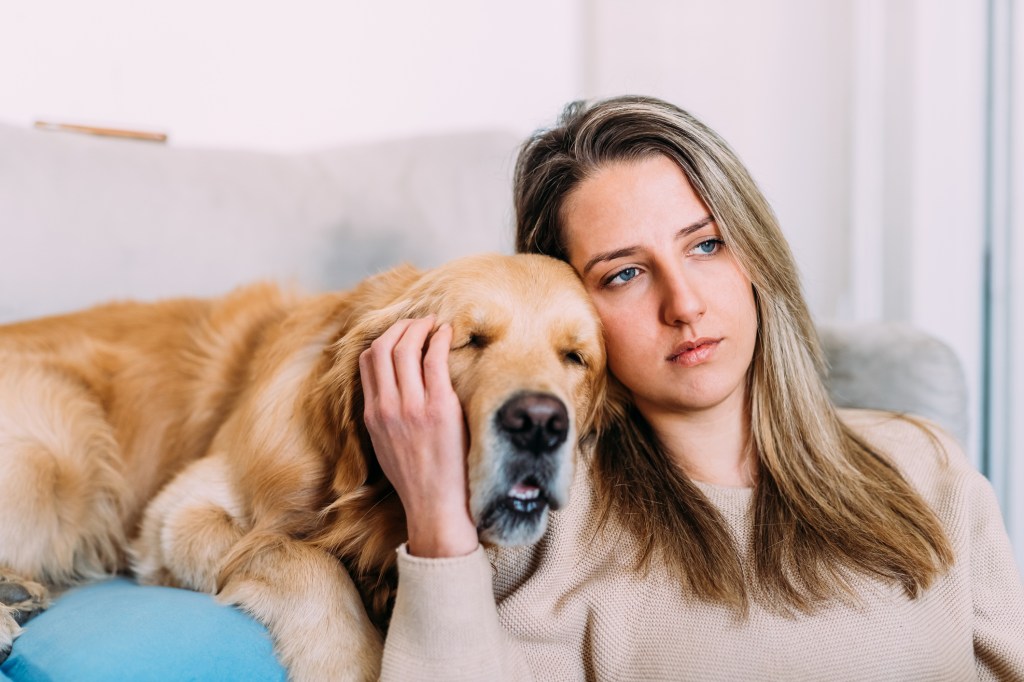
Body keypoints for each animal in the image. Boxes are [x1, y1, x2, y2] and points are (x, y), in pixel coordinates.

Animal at [0, 251, 602, 675]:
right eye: (471, 341)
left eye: (576, 358)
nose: (540, 424)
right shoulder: (172, 518)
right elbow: (308, 560)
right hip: (56, 464)